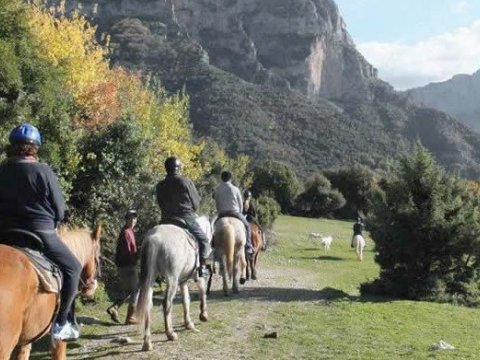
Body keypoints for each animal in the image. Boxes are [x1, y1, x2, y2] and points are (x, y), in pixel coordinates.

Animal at [134, 215, 211, 350]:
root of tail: (154, 238)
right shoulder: (197, 278)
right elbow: (202, 293)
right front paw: (203, 315)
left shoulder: (183, 281)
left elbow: (186, 300)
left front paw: (188, 323)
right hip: (172, 280)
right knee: (167, 303)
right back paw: (170, 334)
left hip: (150, 279)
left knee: (148, 304)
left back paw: (147, 343)